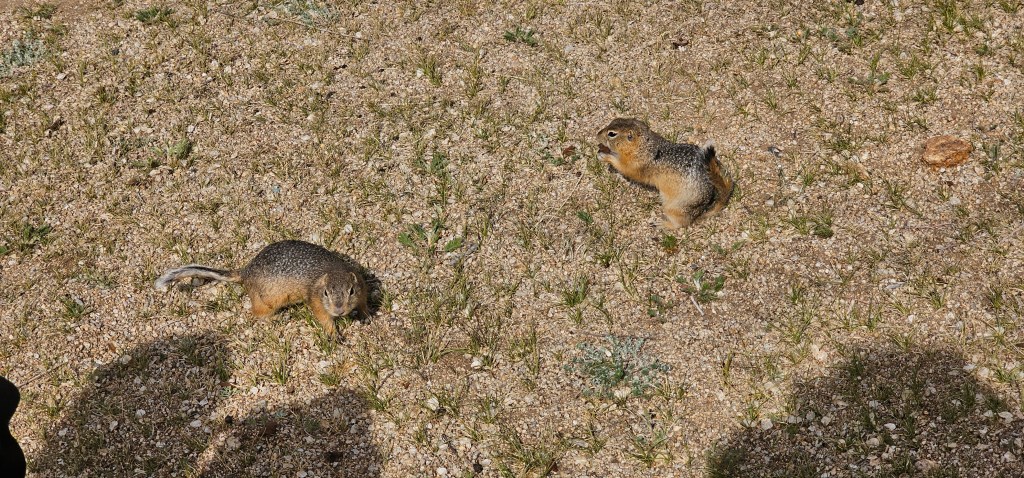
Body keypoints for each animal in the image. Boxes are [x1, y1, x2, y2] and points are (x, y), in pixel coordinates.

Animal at [154, 240, 370, 339]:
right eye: (326, 293)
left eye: (351, 290)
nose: (339, 310)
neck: (333, 270)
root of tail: (246, 272)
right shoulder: (315, 300)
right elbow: (323, 317)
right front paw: (334, 334)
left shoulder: (361, 284)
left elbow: (364, 302)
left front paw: (366, 316)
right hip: (268, 301)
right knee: (256, 313)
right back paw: (276, 319)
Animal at [596, 118, 734, 228]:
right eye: (613, 120)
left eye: (612, 134)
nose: (597, 134)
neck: (644, 146)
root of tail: (701, 211)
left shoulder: (634, 165)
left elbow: (623, 167)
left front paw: (604, 156)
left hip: (673, 208)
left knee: (681, 224)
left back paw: (662, 224)